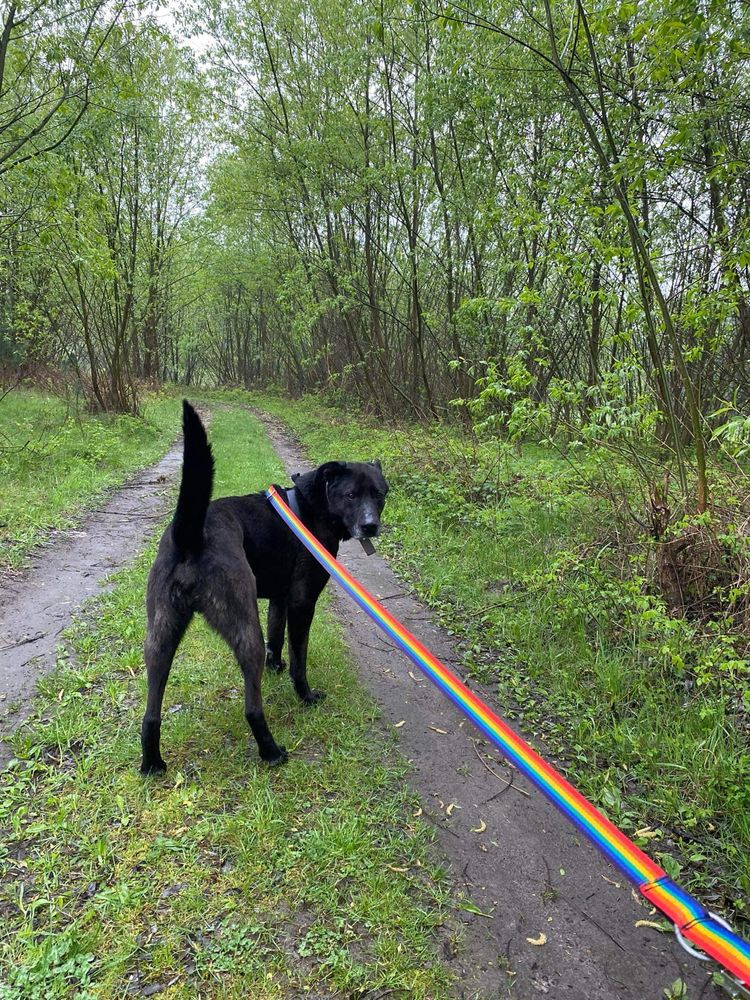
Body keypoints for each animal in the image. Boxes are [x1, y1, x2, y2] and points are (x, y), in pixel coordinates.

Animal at [140, 402, 394, 776]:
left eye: (379, 494)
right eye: (350, 495)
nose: (370, 525)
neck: (310, 507)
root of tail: (191, 536)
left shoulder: (279, 598)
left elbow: (277, 633)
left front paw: (276, 666)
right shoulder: (303, 602)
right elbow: (299, 657)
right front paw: (305, 695)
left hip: (160, 635)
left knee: (150, 713)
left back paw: (151, 763)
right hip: (245, 630)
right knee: (251, 705)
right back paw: (271, 751)